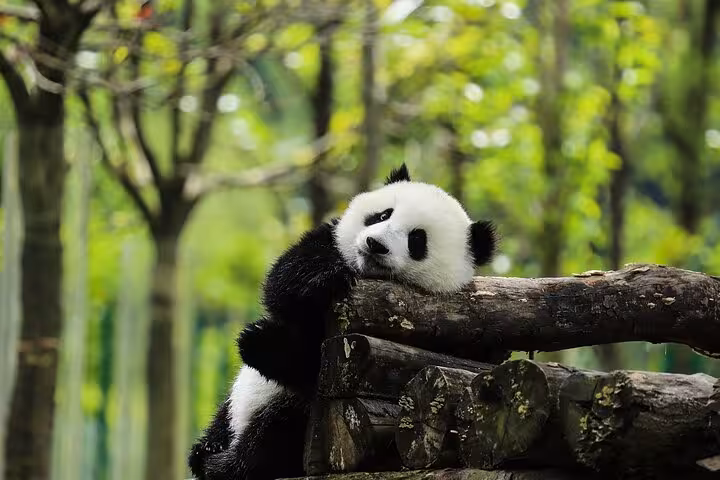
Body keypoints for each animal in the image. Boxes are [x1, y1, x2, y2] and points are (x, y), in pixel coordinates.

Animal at [188, 164, 497, 480]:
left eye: (417, 240)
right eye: (383, 215)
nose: (375, 244)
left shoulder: (450, 334)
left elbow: (315, 365)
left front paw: (267, 344)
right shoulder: (331, 242)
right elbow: (285, 279)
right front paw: (325, 279)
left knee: (276, 432)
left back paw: (225, 464)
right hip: (232, 406)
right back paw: (204, 451)